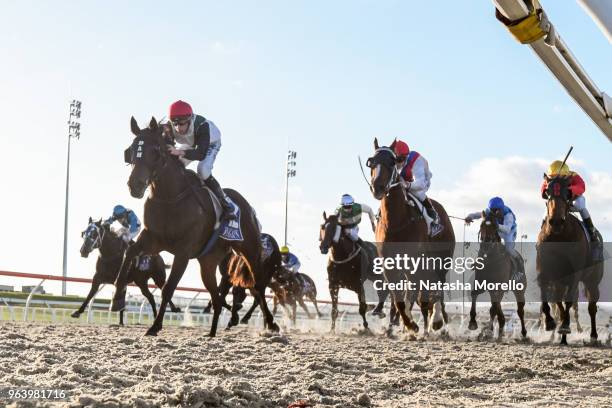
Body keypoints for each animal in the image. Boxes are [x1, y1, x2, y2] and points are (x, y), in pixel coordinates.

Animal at [111, 116, 278, 336]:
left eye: (154, 151)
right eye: (131, 150)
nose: (135, 185)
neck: (169, 197)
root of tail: (248, 208)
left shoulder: (183, 251)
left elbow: (168, 287)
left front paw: (155, 326)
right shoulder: (153, 240)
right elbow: (129, 253)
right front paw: (117, 297)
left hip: (250, 249)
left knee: (257, 286)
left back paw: (270, 323)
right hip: (207, 261)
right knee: (216, 295)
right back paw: (213, 332)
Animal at [364, 139, 454, 336]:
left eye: (392, 162)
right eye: (371, 162)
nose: (377, 188)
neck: (396, 222)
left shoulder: (414, 262)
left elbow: (412, 295)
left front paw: (413, 325)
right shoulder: (389, 264)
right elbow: (398, 297)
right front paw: (408, 325)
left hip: (441, 261)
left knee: (438, 288)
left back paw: (437, 321)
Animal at [466, 209, 528, 340]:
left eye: (495, 227)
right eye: (481, 225)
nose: (486, 244)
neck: (490, 259)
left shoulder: (499, 287)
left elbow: (494, 307)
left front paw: (488, 330)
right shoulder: (482, 284)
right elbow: (475, 295)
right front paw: (473, 323)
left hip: (519, 289)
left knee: (520, 310)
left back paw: (524, 333)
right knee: (496, 307)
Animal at [536, 175, 600, 344]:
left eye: (567, 192)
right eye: (547, 191)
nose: (556, 221)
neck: (559, 236)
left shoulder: (575, 273)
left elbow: (569, 301)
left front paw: (564, 326)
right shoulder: (545, 270)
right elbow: (547, 296)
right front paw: (550, 323)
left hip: (592, 280)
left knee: (592, 307)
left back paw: (593, 336)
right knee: (560, 302)